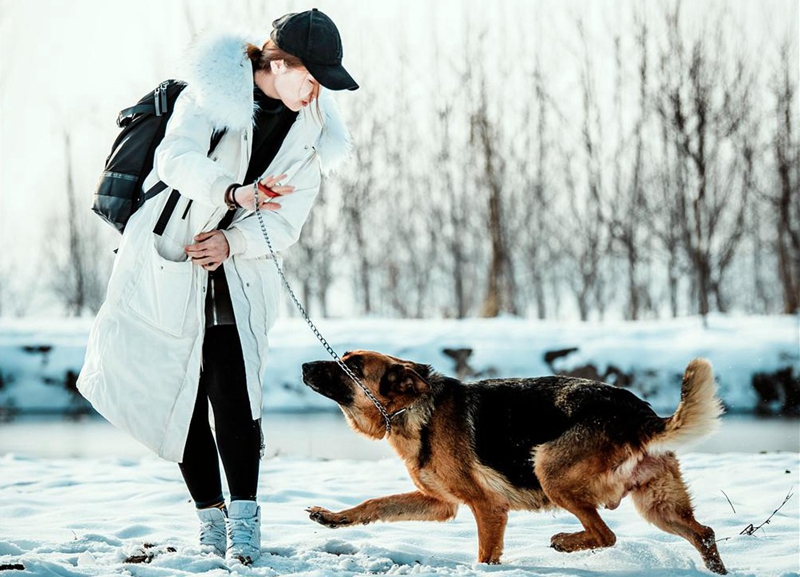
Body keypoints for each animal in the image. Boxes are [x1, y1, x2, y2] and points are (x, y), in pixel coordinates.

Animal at [304, 352, 728, 572]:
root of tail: (640, 414)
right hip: (658, 505)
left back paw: (565, 542)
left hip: (549, 471)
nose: (305, 367)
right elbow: (376, 504)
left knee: (606, 534)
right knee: (704, 533)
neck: (413, 407)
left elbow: (485, 555)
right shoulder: (440, 504)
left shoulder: (488, 507)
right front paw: (334, 518)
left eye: (351, 366)